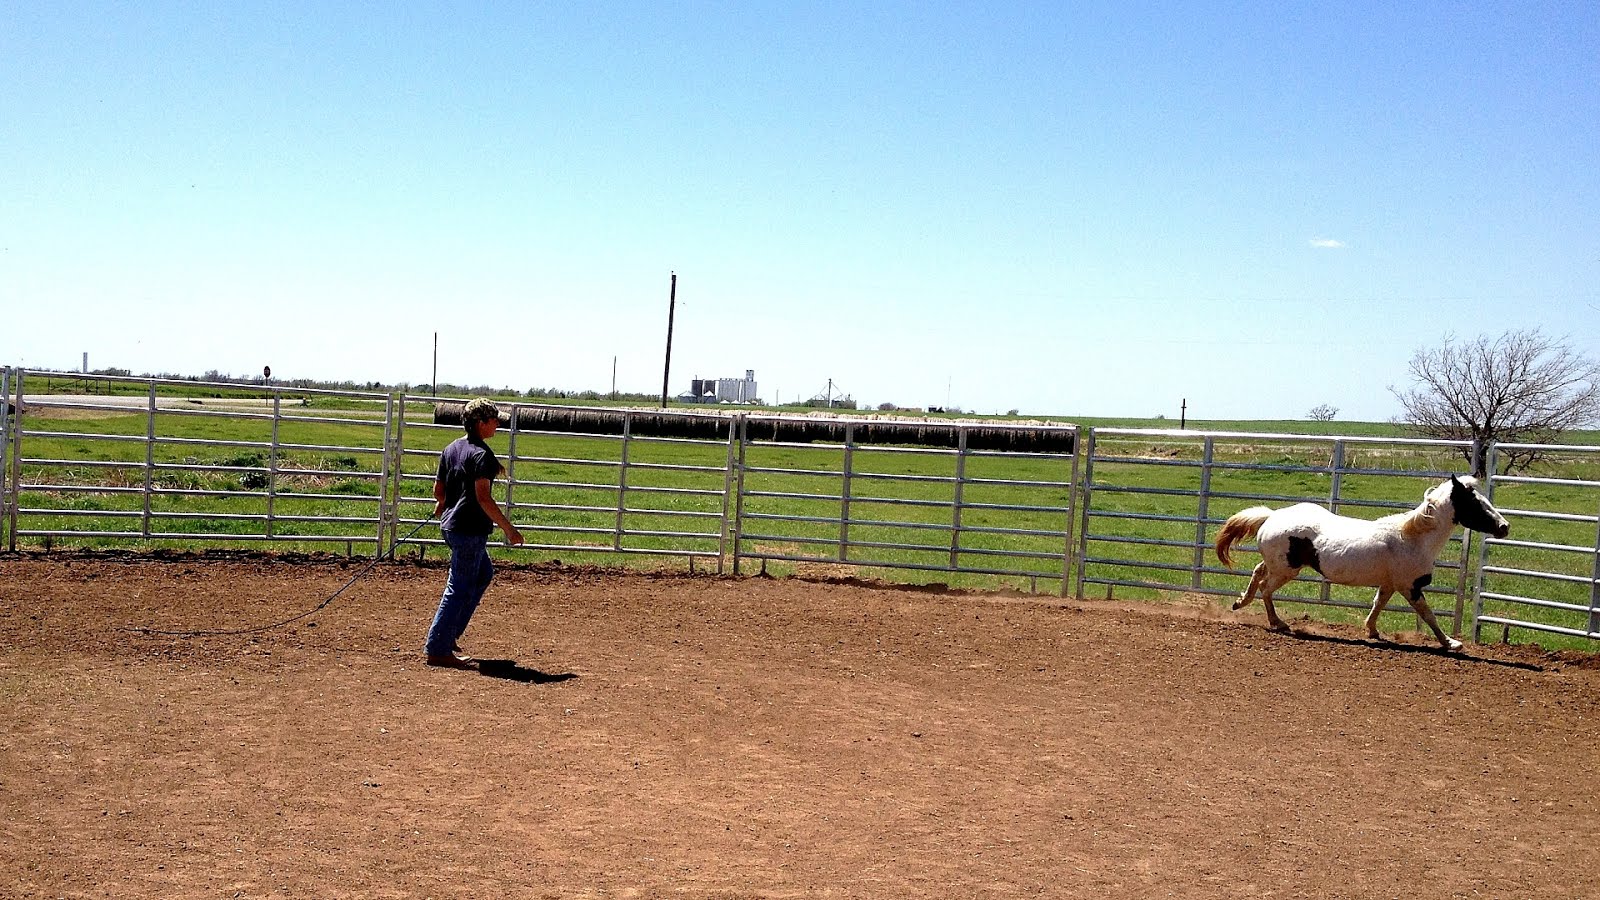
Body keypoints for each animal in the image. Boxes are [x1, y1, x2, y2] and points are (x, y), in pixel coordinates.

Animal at [1214, 475, 1509, 651]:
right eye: (1475, 502)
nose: (1504, 527)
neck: (1412, 538)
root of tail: (1272, 517)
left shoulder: (1390, 584)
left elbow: (1378, 604)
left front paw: (1372, 631)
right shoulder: (1410, 586)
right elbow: (1428, 614)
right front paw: (1450, 643)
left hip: (1280, 566)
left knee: (1257, 574)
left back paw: (1240, 602)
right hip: (1286, 570)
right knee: (1266, 588)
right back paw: (1279, 623)